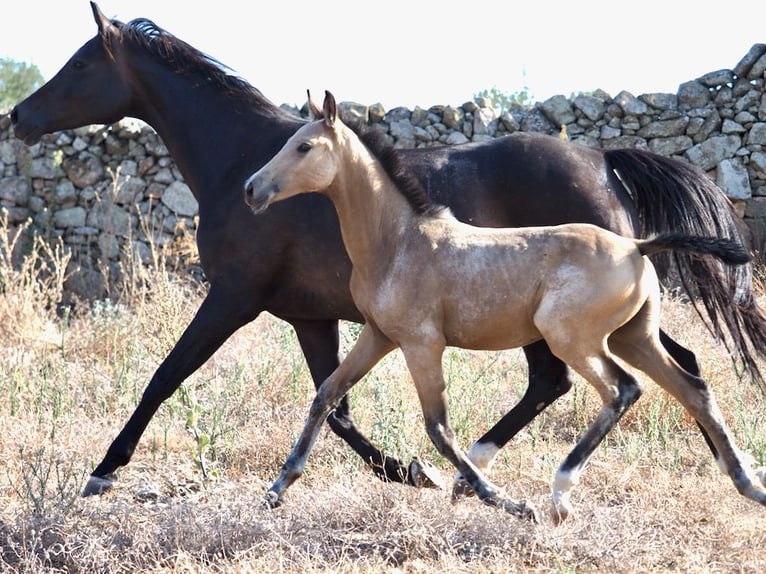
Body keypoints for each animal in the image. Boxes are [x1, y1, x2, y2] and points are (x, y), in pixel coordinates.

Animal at [10, 2, 766, 498]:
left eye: (81, 62)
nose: (17, 115)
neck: (239, 160)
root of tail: (603, 158)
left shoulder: (234, 297)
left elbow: (165, 378)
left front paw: (102, 472)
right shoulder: (311, 315)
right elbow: (333, 403)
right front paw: (407, 471)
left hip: (560, 320)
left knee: (596, 377)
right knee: (655, 368)